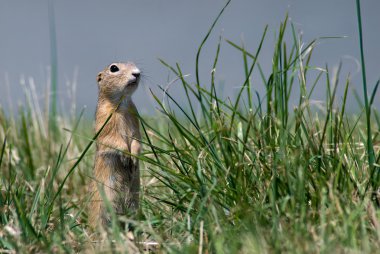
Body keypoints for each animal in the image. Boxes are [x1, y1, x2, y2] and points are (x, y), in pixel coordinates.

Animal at [88, 62, 142, 228]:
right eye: (113, 68)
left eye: (134, 64)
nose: (137, 73)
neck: (122, 104)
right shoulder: (104, 120)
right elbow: (113, 139)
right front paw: (126, 156)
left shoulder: (135, 119)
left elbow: (137, 139)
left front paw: (134, 158)